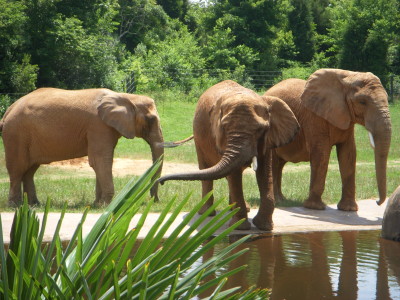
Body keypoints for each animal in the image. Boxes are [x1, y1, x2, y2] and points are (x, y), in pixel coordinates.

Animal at [0, 88, 164, 207]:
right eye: (151, 119)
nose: (154, 201)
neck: (125, 97)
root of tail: (8, 110)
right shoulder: (98, 126)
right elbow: (100, 161)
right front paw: (106, 206)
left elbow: (101, 162)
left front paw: (97, 205)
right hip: (16, 134)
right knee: (17, 169)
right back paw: (15, 206)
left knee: (30, 170)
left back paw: (34, 205)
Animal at [158, 79, 298, 230]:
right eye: (224, 127)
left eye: (260, 129)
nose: (160, 182)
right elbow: (234, 175)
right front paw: (240, 227)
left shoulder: (268, 138)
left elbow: (264, 173)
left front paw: (264, 227)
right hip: (198, 139)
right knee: (206, 168)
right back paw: (207, 213)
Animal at [264, 69, 392, 212]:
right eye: (362, 102)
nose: (377, 202)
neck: (348, 77)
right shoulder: (314, 117)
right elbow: (321, 153)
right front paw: (315, 207)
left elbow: (348, 154)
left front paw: (348, 209)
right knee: (274, 163)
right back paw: (277, 201)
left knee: (279, 164)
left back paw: (282, 200)